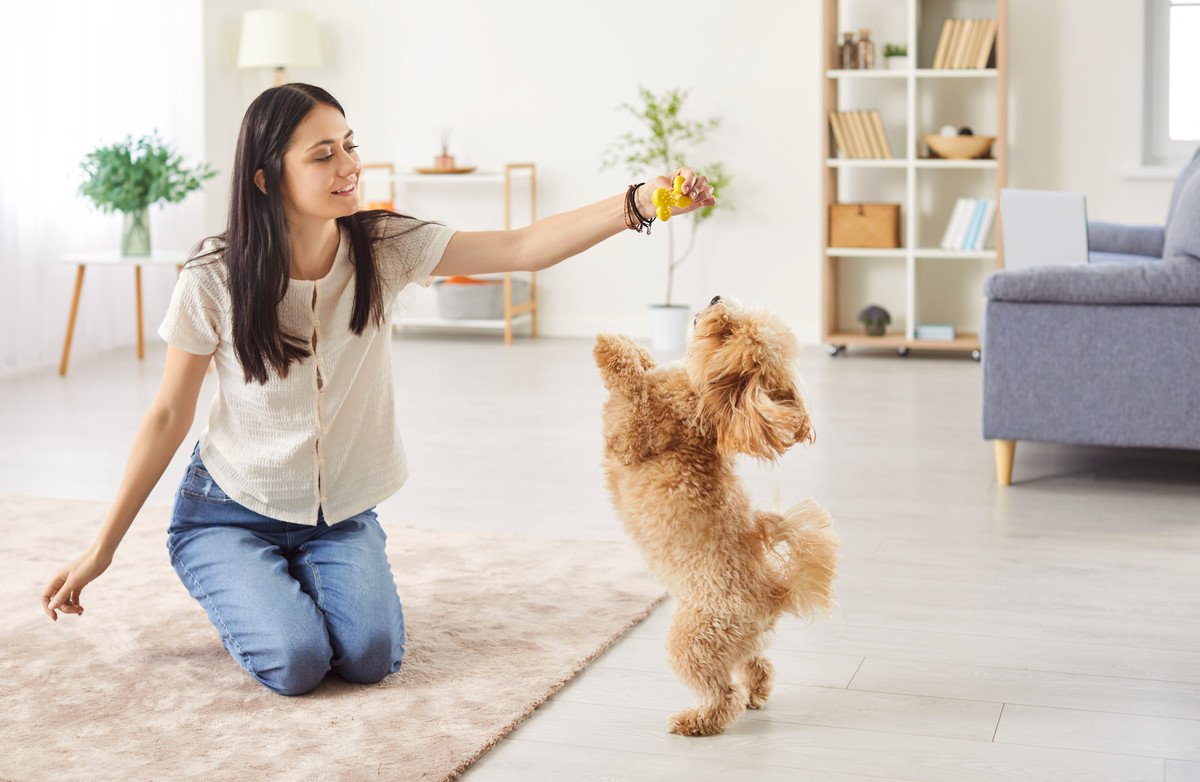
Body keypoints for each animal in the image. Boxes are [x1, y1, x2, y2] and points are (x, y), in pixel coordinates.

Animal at [592, 296, 840, 734]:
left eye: (727, 332)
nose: (715, 298)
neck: (704, 401)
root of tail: (773, 595)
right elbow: (645, 366)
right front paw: (634, 346)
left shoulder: (633, 434)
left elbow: (629, 389)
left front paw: (609, 346)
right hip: (736, 645)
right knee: (758, 668)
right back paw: (756, 696)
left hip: (693, 642)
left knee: (724, 696)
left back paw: (694, 721)